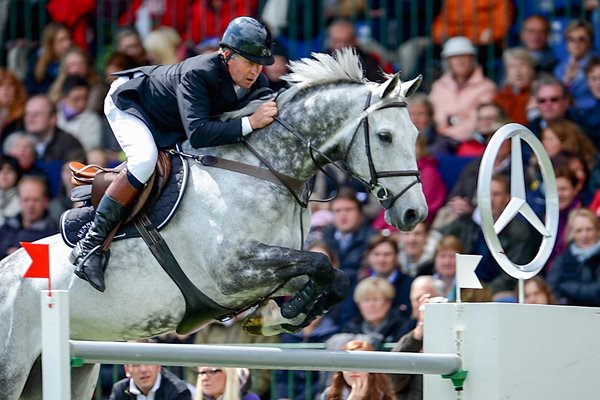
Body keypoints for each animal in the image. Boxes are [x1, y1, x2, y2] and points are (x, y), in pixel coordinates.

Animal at [0, 48, 426, 398]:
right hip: (13, 370)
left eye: (417, 133)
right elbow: (320, 264)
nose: (414, 214)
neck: (266, 170)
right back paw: (88, 257)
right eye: (385, 136)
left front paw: (284, 314)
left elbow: (334, 277)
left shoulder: (273, 267)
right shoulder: (232, 272)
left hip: (70, 370)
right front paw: (282, 314)